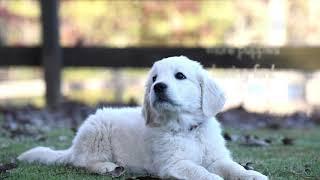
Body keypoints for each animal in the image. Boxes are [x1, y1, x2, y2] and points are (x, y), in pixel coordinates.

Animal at [17, 56, 268, 180]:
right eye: (155, 78)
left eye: (180, 76)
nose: (158, 87)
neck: (186, 129)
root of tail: (74, 146)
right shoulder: (173, 164)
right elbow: (198, 171)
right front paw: (213, 179)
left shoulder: (216, 158)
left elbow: (234, 168)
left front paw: (253, 175)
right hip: (96, 134)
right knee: (82, 162)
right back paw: (108, 167)